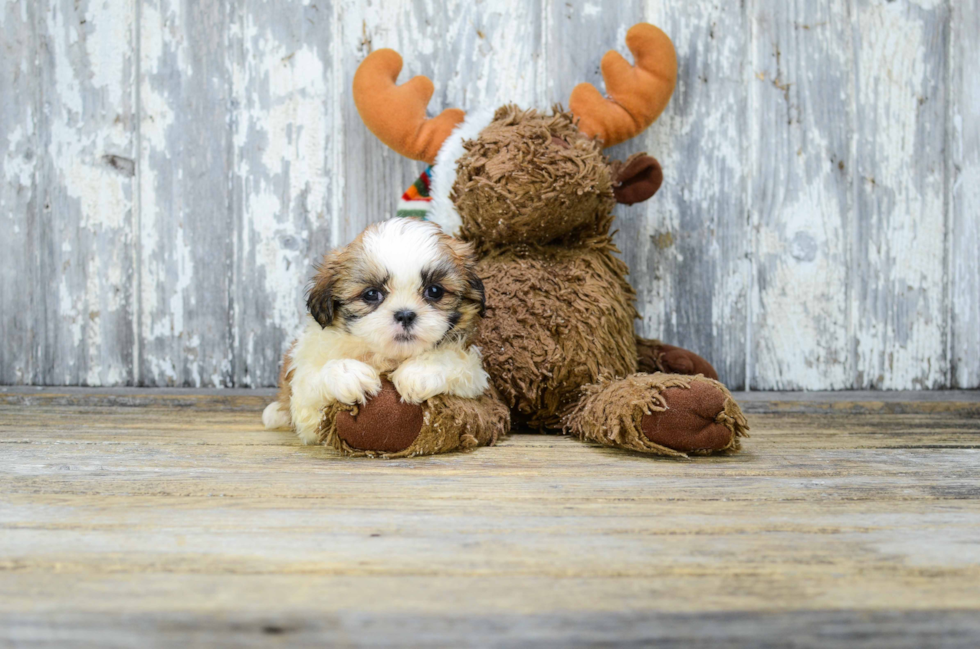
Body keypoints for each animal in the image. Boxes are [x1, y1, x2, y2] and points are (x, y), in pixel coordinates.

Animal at [264, 219, 490, 446]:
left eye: (435, 291)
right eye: (371, 294)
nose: (405, 315)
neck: (387, 357)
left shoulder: (477, 379)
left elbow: (455, 359)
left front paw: (418, 373)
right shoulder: (307, 403)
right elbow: (312, 385)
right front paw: (348, 374)